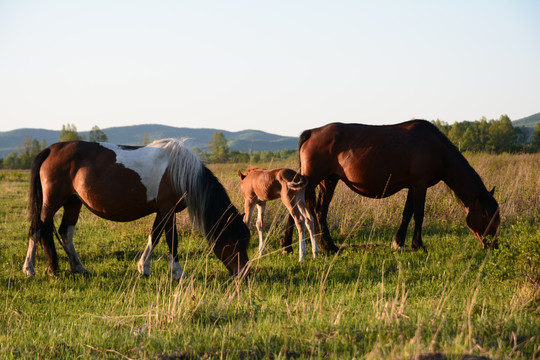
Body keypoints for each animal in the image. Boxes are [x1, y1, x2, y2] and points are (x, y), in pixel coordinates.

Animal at [23, 139, 251, 278]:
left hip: (73, 202)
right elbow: (172, 240)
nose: (244, 272)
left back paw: (79, 268)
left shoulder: (162, 211)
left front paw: (144, 268)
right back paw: (29, 268)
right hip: (52, 202)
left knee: (65, 233)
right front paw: (177, 272)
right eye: (235, 241)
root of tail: (50, 150)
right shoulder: (168, 209)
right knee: (37, 229)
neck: (180, 171)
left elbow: (155, 236)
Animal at [280, 121, 500, 253]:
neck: (437, 149)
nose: (494, 245)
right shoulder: (420, 185)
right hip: (313, 180)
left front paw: (399, 242)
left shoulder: (413, 186)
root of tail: (312, 132)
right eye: (486, 216)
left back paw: (326, 246)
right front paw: (418, 245)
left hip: (328, 181)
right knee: (300, 210)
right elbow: (419, 214)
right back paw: (290, 246)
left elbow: (407, 213)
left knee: (317, 211)